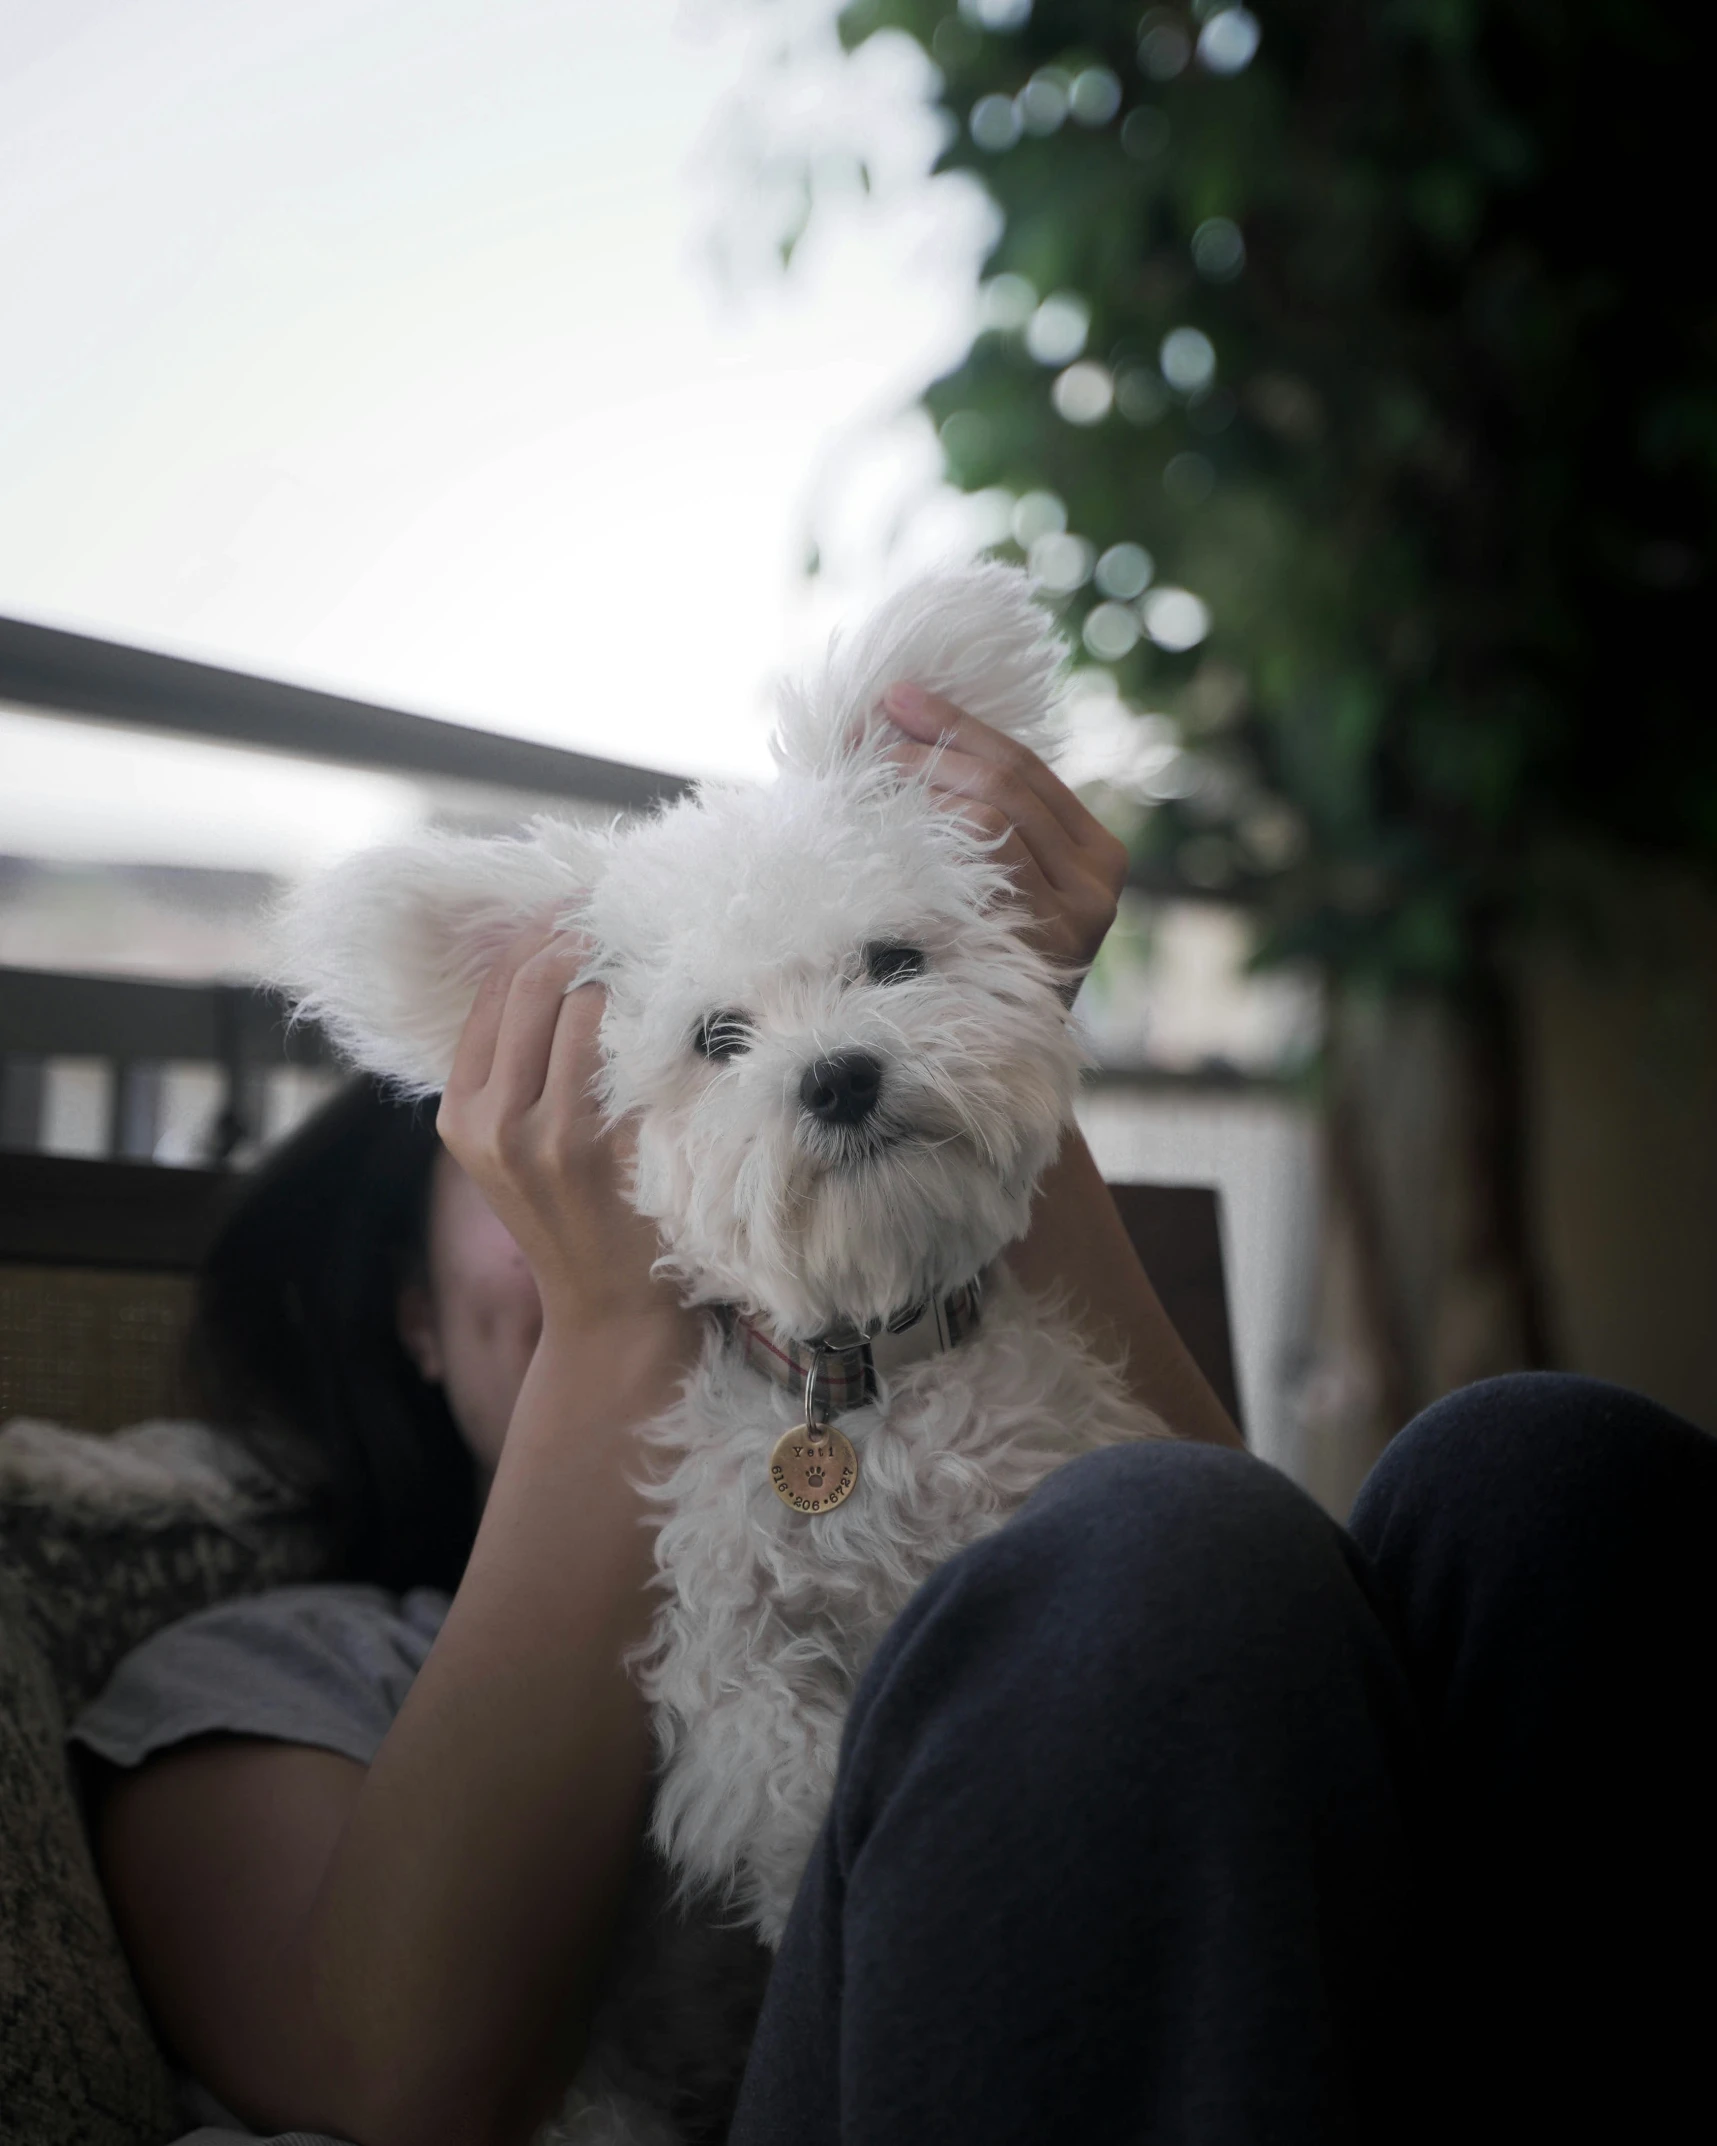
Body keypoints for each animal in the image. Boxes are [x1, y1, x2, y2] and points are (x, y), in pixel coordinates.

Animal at [274, 562, 1167, 2137]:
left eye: (893, 962)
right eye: (717, 1037)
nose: (839, 1075)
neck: (861, 1375)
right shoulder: (723, 1641)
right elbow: (784, 1763)